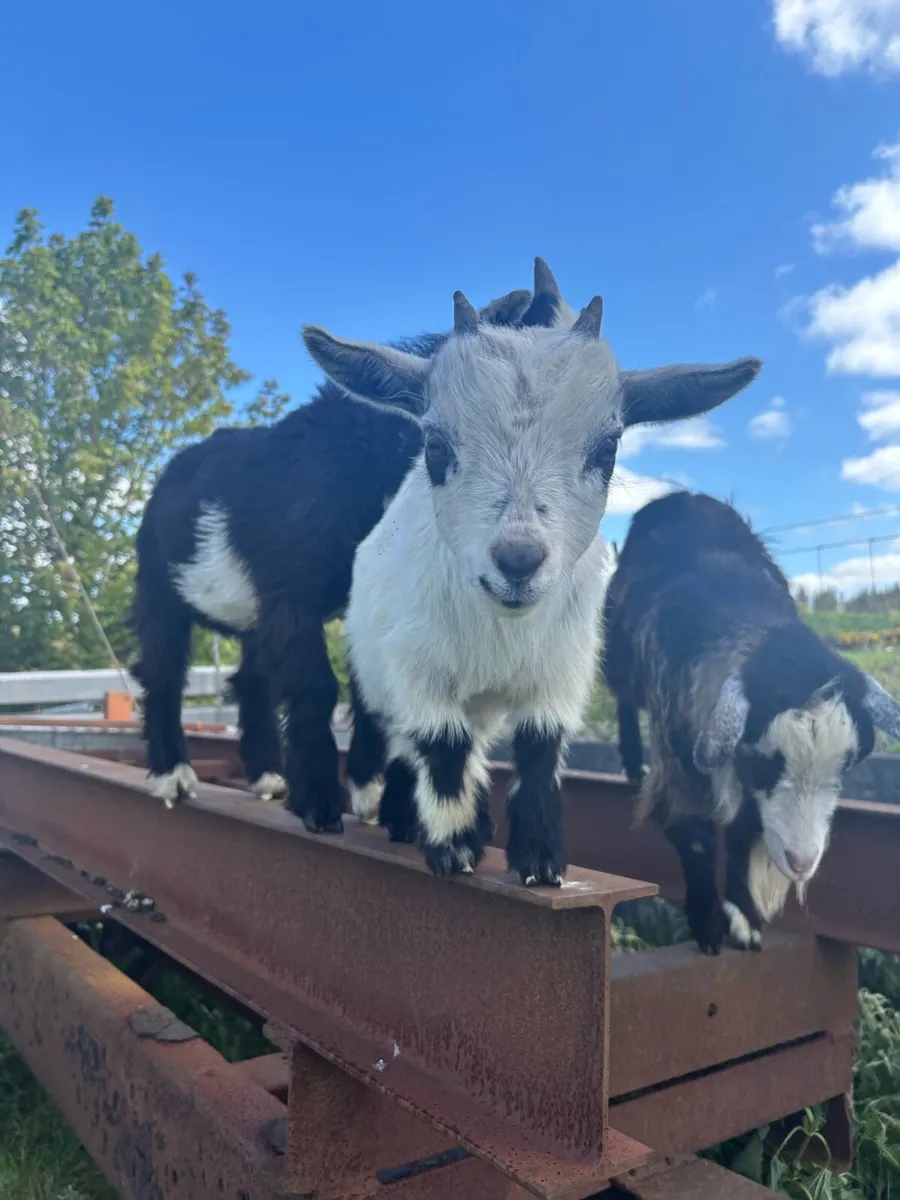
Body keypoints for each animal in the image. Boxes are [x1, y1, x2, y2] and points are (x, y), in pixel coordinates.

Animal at [129, 276, 540, 830]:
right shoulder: (292, 595)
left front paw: (369, 791)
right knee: (164, 670)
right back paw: (172, 776)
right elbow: (316, 687)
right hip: (158, 585)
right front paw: (321, 804)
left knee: (249, 678)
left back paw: (267, 776)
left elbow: (367, 686)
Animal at [303, 262, 762, 884]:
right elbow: (441, 745)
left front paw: (541, 860)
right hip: (370, 665)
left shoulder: (562, 671)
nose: (518, 560)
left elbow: (540, 749)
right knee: (394, 738)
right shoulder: (417, 666)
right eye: (434, 444)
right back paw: (401, 819)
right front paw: (453, 848)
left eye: (607, 448)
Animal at [602, 491, 900, 951]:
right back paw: (634, 765)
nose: (801, 862)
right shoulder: (678, 755)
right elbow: (696, 836)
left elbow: (742, 832)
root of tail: (680, 495)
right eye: (765, 759)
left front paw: (743, 919)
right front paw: (708, 926)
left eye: (846, 763)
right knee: (624, 704)